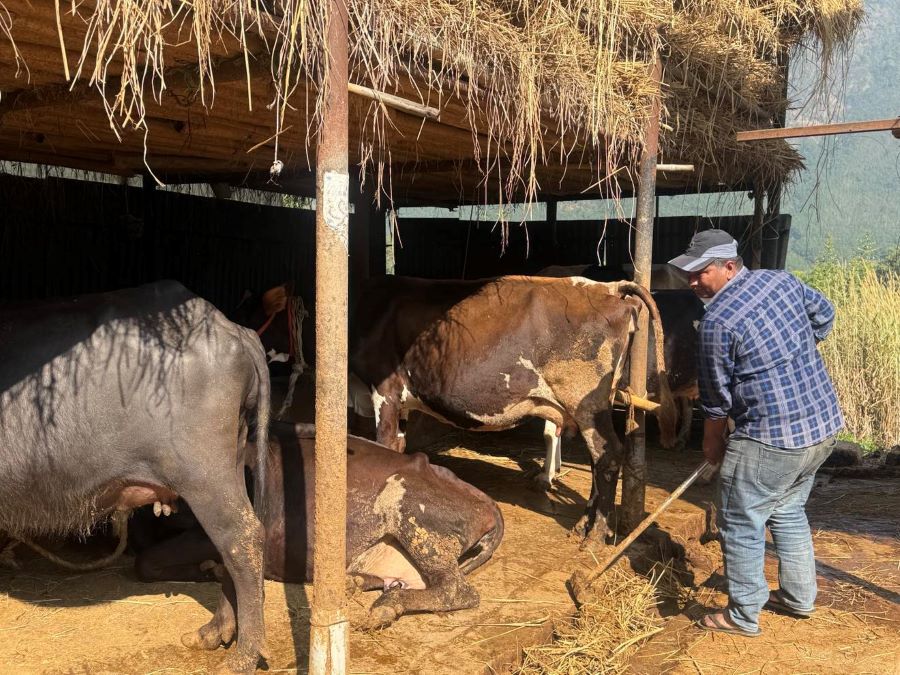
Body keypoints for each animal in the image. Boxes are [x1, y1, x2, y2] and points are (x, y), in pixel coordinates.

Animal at [0, 282, 270, 672]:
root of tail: (232, 328)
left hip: (205, 474)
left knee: (242, 539)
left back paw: (242, 657)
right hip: (231, 457)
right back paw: (214, 631)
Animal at [133, 426, 502, 632]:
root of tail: (485, 499)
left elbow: (145, 561)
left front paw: (210, 569)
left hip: (412, 514)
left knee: (457, 590)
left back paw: (386, 606)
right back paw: (355, 584)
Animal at [348, 274, 672, 544]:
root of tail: (608, 287)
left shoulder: (385, 389)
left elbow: (386, 446)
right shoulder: (400, 402)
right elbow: (400, 448)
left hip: (586, 401)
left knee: (608, 455)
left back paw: (595, 534)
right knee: (598, 458)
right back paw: (583, 525)